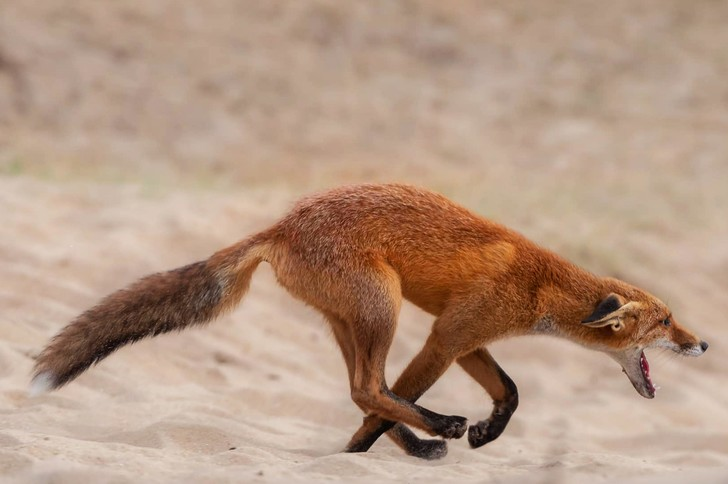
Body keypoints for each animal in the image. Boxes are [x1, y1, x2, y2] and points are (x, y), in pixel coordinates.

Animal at [32, 183, 704, 460]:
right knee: (369, 389)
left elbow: (511, 391)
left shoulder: (467, 339)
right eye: (666, 321)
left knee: (366, 389)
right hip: (384, 305)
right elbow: (419, 390)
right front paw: (359, 453)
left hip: (350, 319)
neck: (540, 283)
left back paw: (417, 443)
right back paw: (433, 430)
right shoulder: (449, 336)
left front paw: (486, 433)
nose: (701, 343)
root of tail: (280, 225)